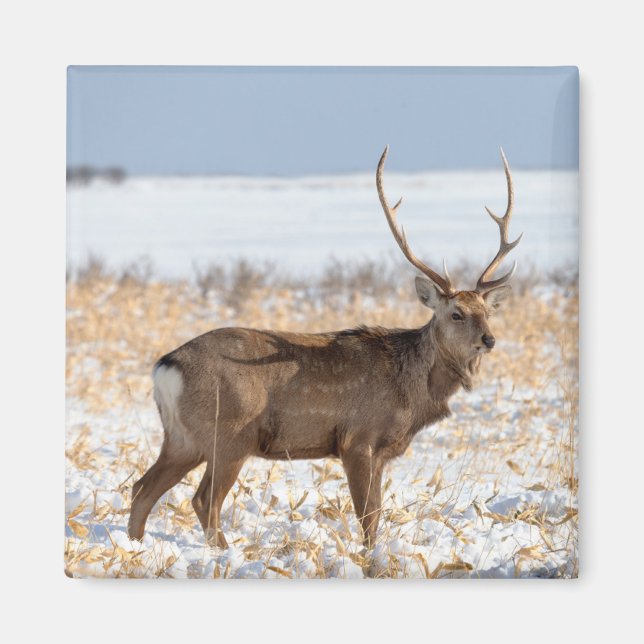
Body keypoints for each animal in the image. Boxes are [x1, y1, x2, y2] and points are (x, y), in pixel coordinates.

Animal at [128, 146, 522, 549]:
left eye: (487, 312)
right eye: (456, 313)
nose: (489, 339)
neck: (411, 391)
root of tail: (165, 367)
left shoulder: (381, 451)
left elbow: (376, 514)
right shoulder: (358, 438)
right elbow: (368, 517)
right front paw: (370, 556)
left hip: (182, 437)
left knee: (142, 488)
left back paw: (135, 546)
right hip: (230, 432)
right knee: (203, 499)